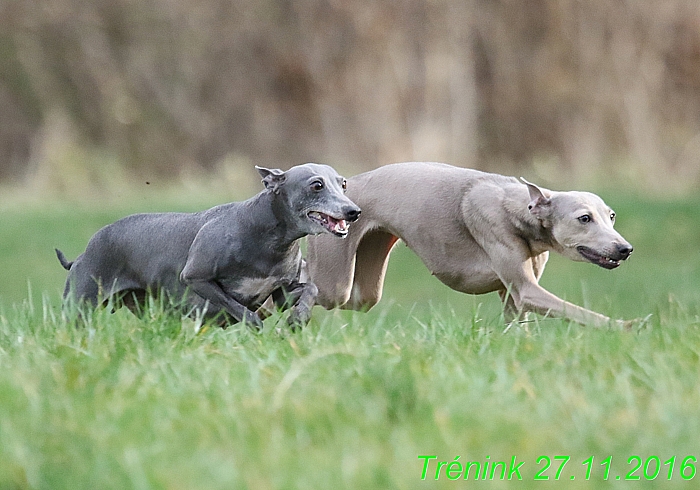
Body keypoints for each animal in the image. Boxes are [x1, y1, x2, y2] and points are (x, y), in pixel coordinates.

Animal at [56, 164, 360, 330]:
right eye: (317, 185)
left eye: (343, 183)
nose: (354, 211)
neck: (268, 240)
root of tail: (82, 254)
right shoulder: (196, 278)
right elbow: (240, 309)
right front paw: (256, 327)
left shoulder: (282, 294)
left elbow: (311, 289)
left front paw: (298, 320)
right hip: (79, 308)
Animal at [308, 163, 636, 328]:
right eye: (584, 218)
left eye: (611, 216)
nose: (625, 249)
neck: (520, 210)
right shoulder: (525, 288)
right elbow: (576, 310)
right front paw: (627, 326)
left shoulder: (513, 298)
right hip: (334, 283)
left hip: (365, 289)